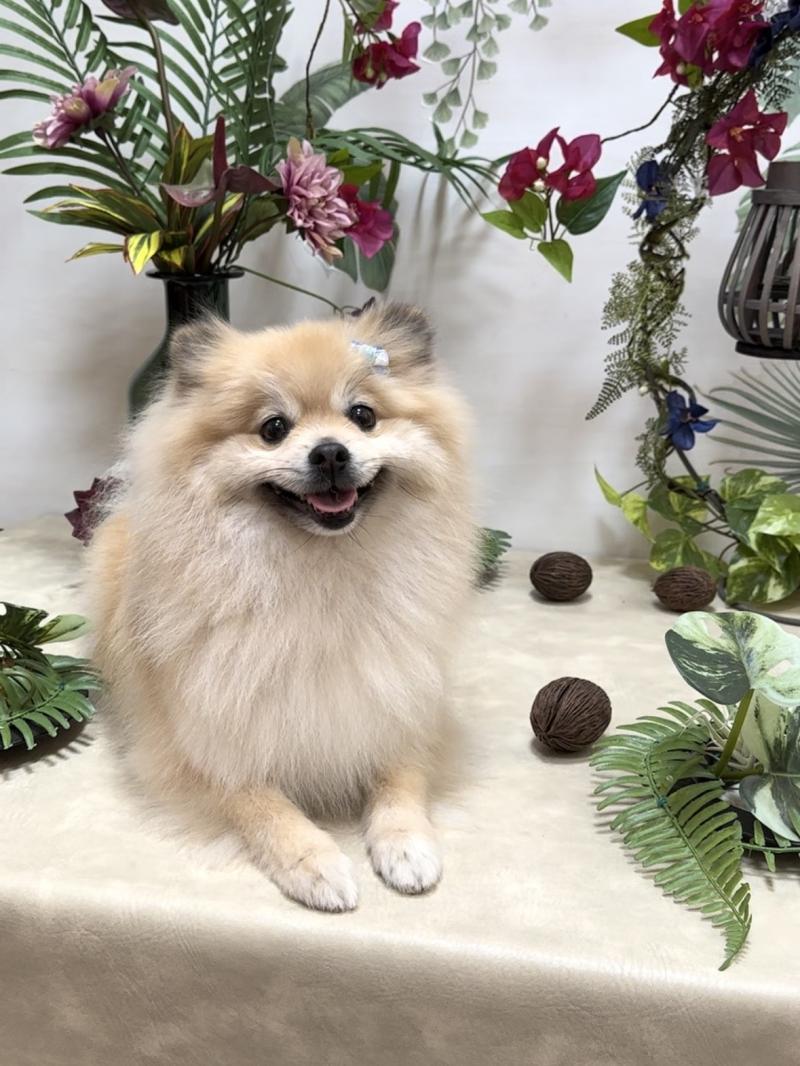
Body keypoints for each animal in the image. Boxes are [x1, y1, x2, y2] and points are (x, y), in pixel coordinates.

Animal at [87, 301, 474, 911]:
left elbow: (401, 774)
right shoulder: (194, 745)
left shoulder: (399, 698)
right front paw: (314, 862)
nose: (331, 451)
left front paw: (406, 842)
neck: (319, 576)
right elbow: (259, 803)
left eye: (363, 415)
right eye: (273, 428)